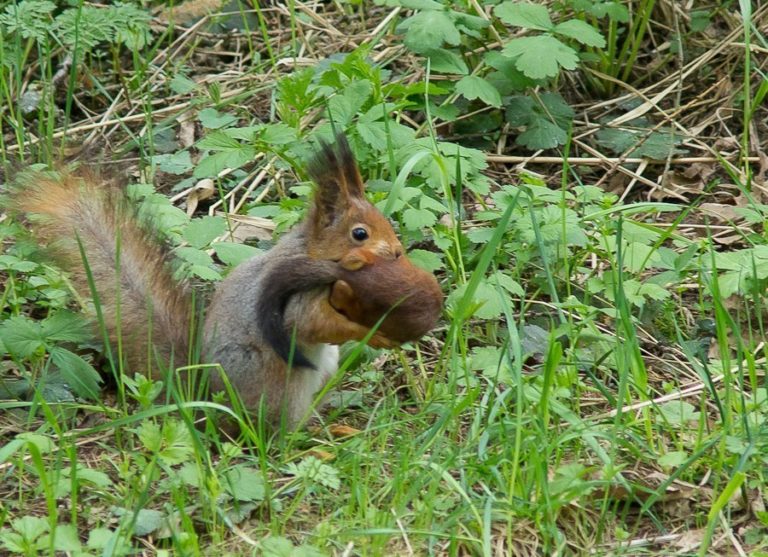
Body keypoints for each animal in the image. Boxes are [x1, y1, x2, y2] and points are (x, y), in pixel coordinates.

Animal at [9, 134, 442, 429]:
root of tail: (207, 400)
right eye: (359, 234)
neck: (314, 255)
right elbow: (313, 324)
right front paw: (375, 334)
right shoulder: (299, 297)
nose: (398, 253)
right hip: (282, 387)